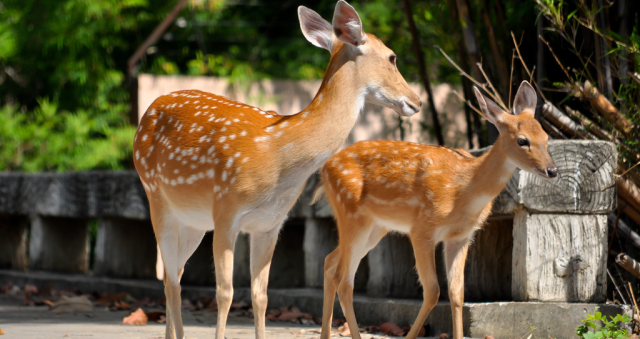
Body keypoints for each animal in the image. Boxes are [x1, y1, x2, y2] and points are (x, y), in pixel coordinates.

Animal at [131, 1, 420, 338]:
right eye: (392, 57)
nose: (416, 101)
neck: (278, 153)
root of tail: (146, 114)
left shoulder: (270, 223)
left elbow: (260, 294)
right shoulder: (226, 210)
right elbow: (225, 292)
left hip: (193, 220)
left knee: (173, 272)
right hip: (156, 195)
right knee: (172, 281)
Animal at [314, 81, 556, 339]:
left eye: (545, 137)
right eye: (522, 140)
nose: (552, 170)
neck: (464, 190)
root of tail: (324, 170)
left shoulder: (460, 237)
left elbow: (457, 293)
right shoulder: (422, 229)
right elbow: (432, 291)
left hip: (375, 227)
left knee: (330, 262)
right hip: (350, 214)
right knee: (343, 279)